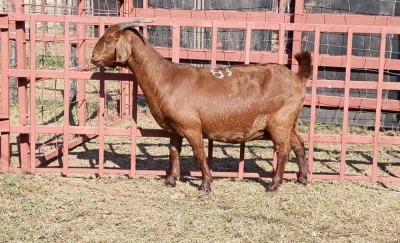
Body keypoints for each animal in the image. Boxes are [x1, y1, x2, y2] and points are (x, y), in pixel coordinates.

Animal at [91, 20, 312, 192]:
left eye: (109, 39)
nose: (93, 57)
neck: (166, 78)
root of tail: (297, 78)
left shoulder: (192, 127)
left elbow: (199, 153)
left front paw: (206, 184)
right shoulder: (175, 128)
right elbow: (174, 151)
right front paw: (171, 180)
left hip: (279, 122)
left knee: (283, 150)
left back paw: (274, 185)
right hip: (289, 123)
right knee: (299, 144)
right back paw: (302, 178)